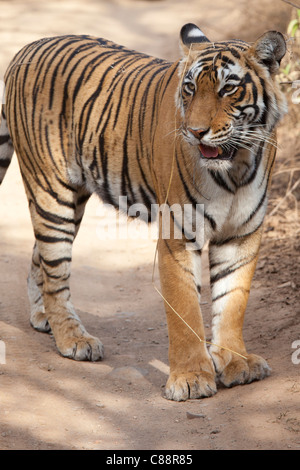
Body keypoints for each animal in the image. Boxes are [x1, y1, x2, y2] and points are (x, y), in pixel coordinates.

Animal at [0, 23, 286, 400]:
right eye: (190, 88)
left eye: (228, 88)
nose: (195, 133)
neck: (236, 165)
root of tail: (28, 47)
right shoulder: (179, 235)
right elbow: (184, 311)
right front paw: (191, 379)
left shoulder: (242, 234)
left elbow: (232, 302)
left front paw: (236, 362)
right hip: (51, 190)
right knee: (56, 269)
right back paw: (73, 338)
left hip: (71, 199)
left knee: (41, 259)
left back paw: (42, 316)